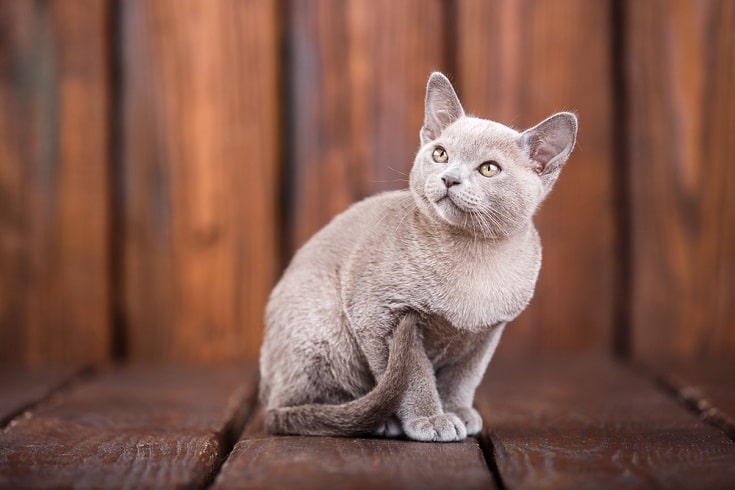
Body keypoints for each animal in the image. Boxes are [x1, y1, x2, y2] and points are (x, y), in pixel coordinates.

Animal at [262, 72, 576, 444]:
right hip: (325, 331)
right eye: (440, 154)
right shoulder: (384, 319)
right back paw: (379, 422)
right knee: (306, 407)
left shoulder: (485, 336)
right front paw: (431, 419)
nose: (449, 178)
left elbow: (463, 379)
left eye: (488, 169)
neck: (474, 257)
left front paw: (457, 412)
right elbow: (415, 377)